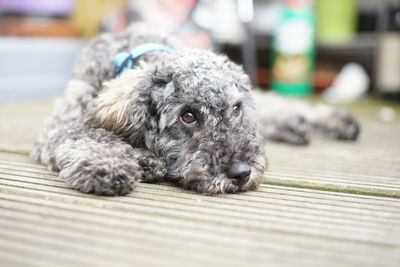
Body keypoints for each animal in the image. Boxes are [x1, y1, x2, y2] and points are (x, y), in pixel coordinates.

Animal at [32, 24, 360, 197]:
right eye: (188, 116)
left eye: (236, 109)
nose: (242, 173)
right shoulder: (60, 125)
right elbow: (88, 135)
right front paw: (108, 165)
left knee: (276, 104)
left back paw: (332, 121)